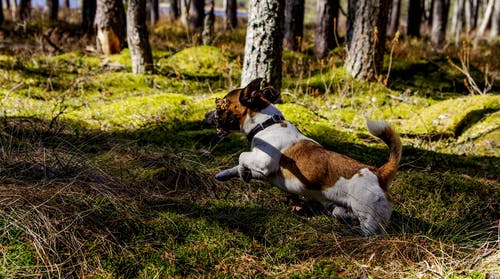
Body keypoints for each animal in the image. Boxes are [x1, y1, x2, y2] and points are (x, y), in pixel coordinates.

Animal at [205, 79, 404, 236]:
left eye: (221, 104)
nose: (206, 115)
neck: (266, 124)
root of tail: (379, 173)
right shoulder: (261, 170)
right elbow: (240, 165)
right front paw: (228, 174)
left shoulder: (264, 162)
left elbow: (242, 156)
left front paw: (242, 171)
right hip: (341, 209)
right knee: (341, 214)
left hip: (368, 217)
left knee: (371, 231)